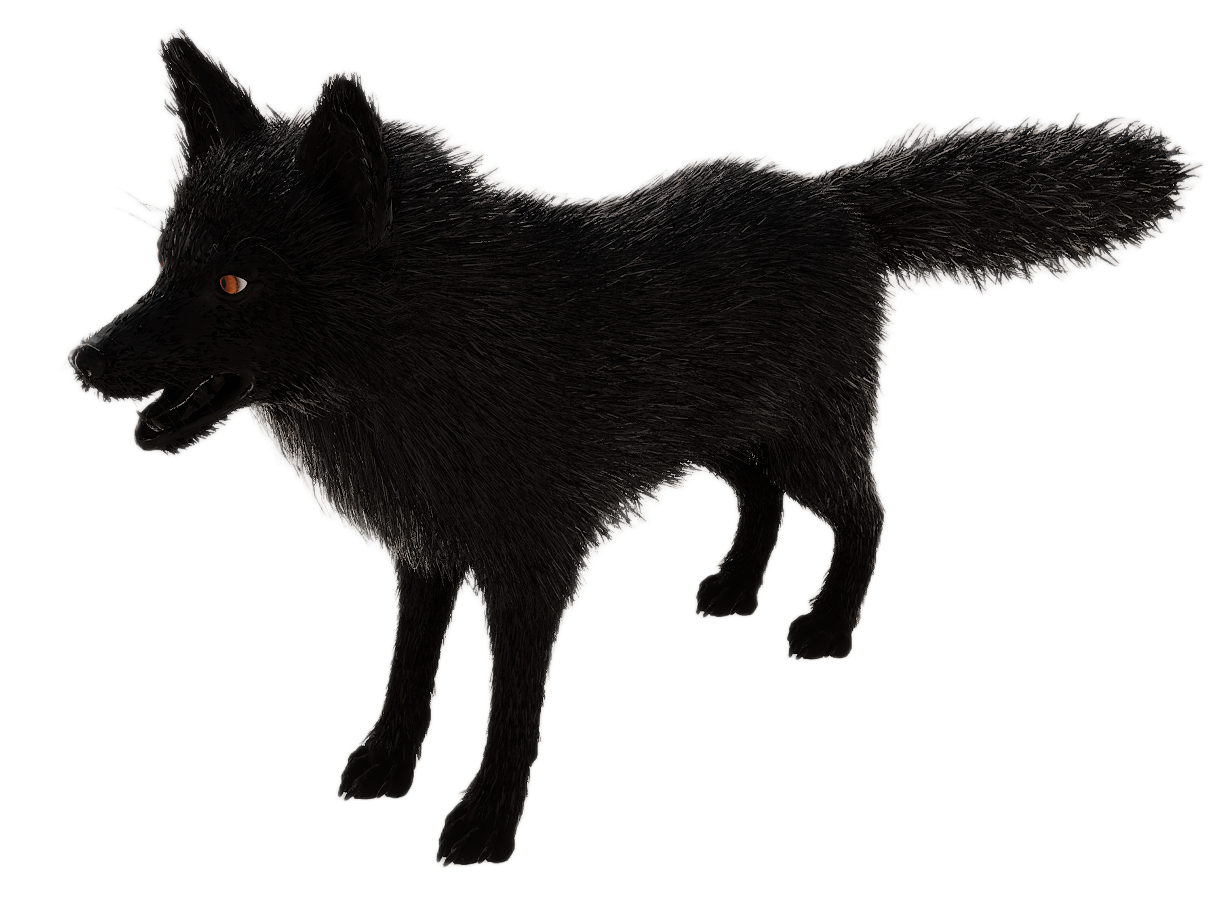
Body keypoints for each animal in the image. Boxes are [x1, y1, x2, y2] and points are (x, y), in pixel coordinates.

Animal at [62, 25, 1201, 867]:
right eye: (163, 262)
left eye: (234, 283)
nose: (80, 361)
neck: (443, 341)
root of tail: (839, 196)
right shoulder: (425, 555)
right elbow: (408, 670)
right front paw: (385, 765)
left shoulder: (530, 572)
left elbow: (512, 710)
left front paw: (484, 823)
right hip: (728, 438)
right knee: (760, 501)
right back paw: (734, 590)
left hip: (811, 437)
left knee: (868, 513)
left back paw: (826, 628)